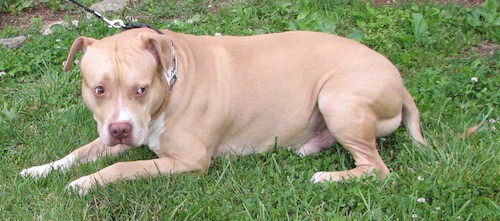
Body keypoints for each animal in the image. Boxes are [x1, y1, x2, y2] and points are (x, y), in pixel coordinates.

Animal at [20, 27, 426, 193]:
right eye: (99, 89)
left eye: (141, 89)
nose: (120, 130)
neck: (173, 80)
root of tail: (400, 81)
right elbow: (78, 152)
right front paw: (40, 170)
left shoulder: (186, 163)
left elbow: (120, 168)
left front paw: (83, 183)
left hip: (338, 99)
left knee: (377, 169)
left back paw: (328, 177)